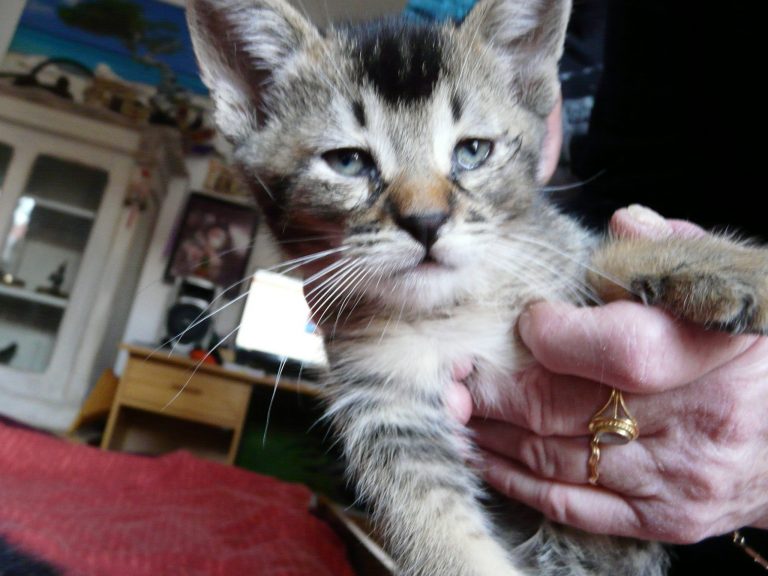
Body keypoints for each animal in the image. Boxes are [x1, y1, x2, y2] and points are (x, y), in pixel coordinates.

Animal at [186, 0, 768, 574]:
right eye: (348, 161)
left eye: (472, 151)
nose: (426, 221)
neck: (458, 306)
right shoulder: (388, 409)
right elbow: (435, 528)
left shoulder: (555, 254)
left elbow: (602, 256)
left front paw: (739, 270)